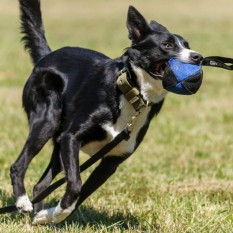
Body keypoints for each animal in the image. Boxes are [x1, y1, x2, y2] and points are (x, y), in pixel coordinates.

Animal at [9, 0, 202, 226]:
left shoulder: (111, 161)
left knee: (41, 186)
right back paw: (22, 202)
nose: (198, 57)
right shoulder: (71, 138)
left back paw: (39, 219)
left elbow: (81, 193)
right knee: (18, 166)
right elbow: (76, 183)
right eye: (168, 45)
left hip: (58, 146)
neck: (133, 94)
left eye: (187, 45)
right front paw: (56, 212)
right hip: (47, 121)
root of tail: (47, 55)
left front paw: (52, 214)